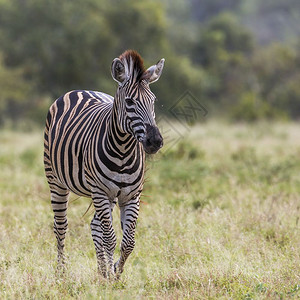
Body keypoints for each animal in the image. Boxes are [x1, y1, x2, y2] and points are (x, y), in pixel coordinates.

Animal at [44, 49, 164, 278]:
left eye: (153, 101)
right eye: (130, 102)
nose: (155, 141)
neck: (124, 151)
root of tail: (80, 90)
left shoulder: (131, 196)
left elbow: (128, 242)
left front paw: (115, 272)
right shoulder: (100, 192)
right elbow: (110, 239)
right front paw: (110, 274)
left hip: (109, 196)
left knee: (95, 226)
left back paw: (101, 271)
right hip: (57, 181)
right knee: (61, 226)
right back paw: (61, 272)